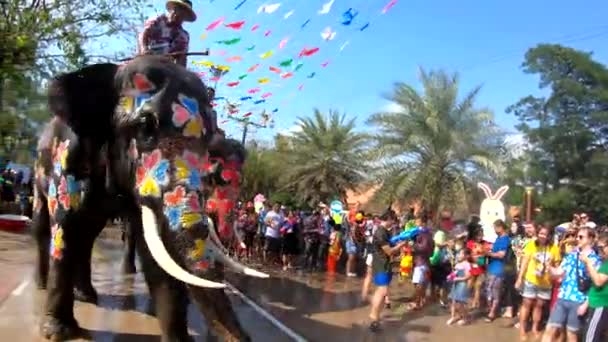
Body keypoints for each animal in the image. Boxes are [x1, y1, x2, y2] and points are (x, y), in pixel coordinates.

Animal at [30, 54, 268, 340]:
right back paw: (42, 285)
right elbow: (64, 228)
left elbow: (156, 252)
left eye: (210, 137)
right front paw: (59, 333)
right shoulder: (69, 157)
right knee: (47, 226)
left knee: (88, 235)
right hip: (38, 168)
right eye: (145, 126)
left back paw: (87, 295)